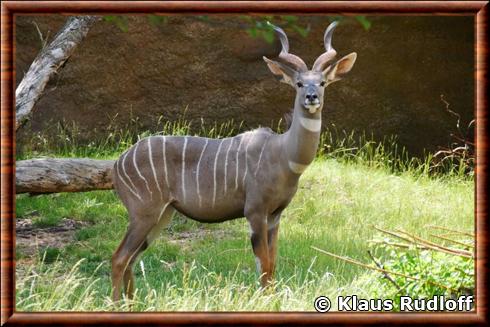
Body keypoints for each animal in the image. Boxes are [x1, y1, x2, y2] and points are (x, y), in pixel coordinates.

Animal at [111, 21, 356, 302]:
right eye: (298, 83)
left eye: (323, 82)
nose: (312, 97)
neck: (284, 155)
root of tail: (118, 164)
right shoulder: (255, 211)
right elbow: (264, 264)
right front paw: (265, 301)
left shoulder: (276, 215)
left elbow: (273, 263)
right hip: (144, 213)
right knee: (119, 258)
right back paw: (116, 304)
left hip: (163, 214)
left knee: (130, 259)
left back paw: (132, 303)